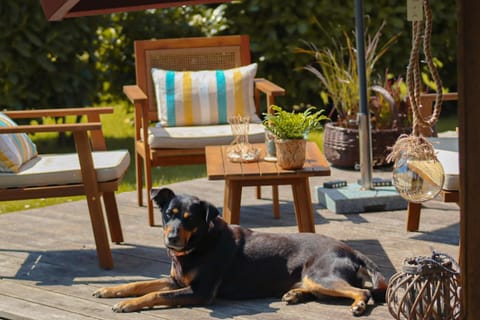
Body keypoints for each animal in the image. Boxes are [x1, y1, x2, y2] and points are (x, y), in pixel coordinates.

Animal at [93, 188, 386, 316]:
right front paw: (109, 290)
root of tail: (352, 250)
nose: (172, 238)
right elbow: (138, 284)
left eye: (190, 219)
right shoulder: (175, 281)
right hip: (313, 279)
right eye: (168, 214)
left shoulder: (200, 292)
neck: (198, 244)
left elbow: (154, 294)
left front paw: (128, 304)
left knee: (363, 292)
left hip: (320, 276)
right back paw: (293, 294)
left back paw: (358, 304)